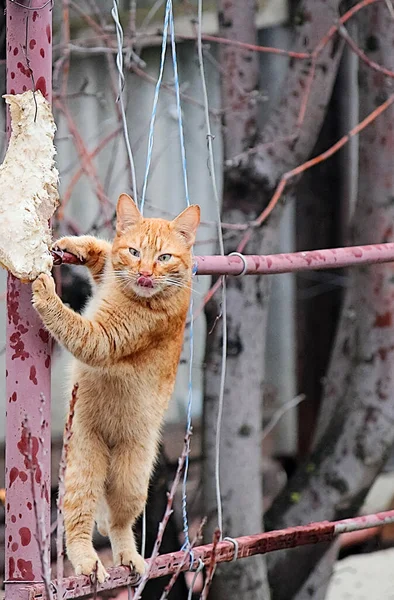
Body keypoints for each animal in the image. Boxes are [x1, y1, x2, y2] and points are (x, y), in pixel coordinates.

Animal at [31, 196, 200, 580]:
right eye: (135, 252)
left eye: (164, 257)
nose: (146, 273)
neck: (126, 292)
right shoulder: (107, 276)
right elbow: (105, 253)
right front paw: (75, 246)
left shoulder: (102, 339)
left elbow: (70, 322)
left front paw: (44, 290)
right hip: (82, 460)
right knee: (83, 520)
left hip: (129, 479)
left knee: (119, 524)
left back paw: (114, 558)